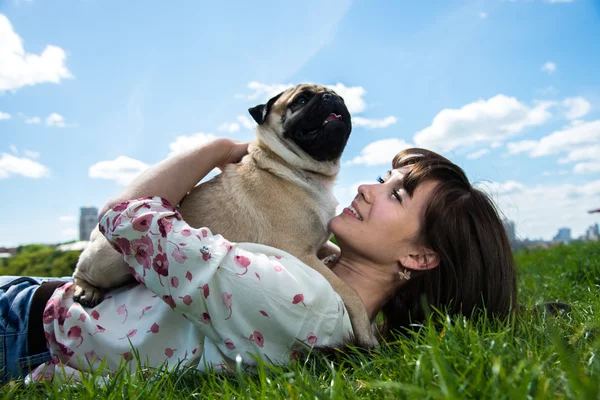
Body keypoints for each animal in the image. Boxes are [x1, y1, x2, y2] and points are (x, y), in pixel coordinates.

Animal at [72, 83, 378, 346]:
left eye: (337, 95)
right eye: (301, 100)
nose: (331, 98)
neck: (300, 170)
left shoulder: (319, 243)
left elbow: (334, 251)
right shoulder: (300, 254)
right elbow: (348, 291)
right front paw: (367, 335)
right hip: (110, 261)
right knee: (80, 271)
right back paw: (86, 290)